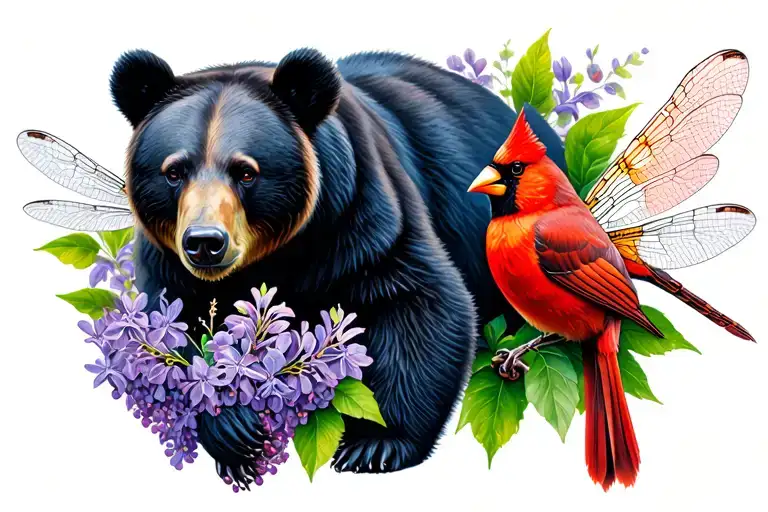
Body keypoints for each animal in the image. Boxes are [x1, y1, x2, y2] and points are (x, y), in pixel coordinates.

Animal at [109, 47, 566, 486]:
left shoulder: (362, 216)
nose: (205, 242)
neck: (276, 258)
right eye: (173, 171)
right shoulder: (166, 261)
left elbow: (421, 301)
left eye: (246, 172)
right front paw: (237, 433)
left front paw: (375, 444)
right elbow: (171, 332)